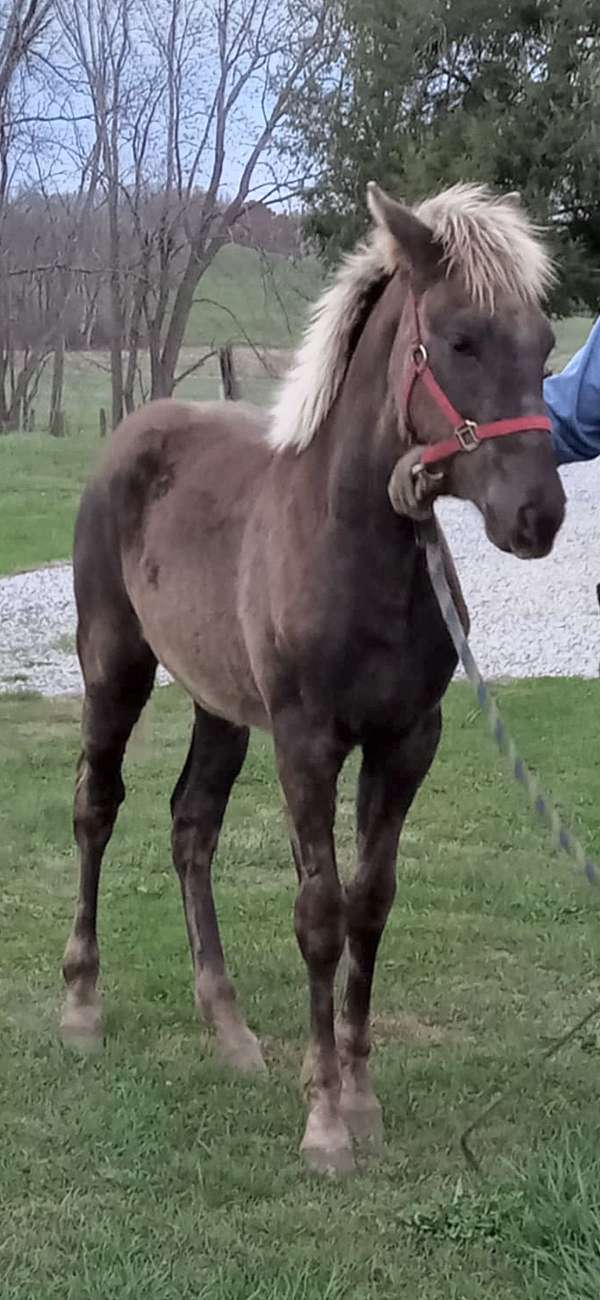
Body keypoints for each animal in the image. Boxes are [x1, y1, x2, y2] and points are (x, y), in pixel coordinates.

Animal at [62, 185, 566, 1180]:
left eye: (543, 340)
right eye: (459, 340)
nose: (539, 515)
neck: (354, 549)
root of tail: (138, 429)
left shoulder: (407, 742)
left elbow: (370, 906)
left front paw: (360, 1098)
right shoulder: (306, 743)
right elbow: (320, 914)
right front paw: (326, 1121)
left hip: (219, 704)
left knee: (191, 826)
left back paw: (228, 1030)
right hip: (115, 666)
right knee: (97, 807)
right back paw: (82, 1006)